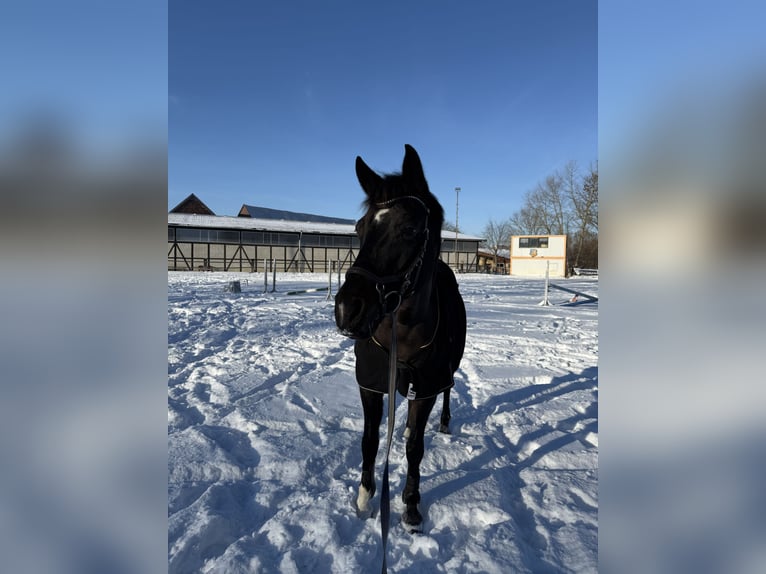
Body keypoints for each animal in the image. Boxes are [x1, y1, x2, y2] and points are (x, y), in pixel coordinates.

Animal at [334, 144, 466, 532]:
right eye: (360, 227)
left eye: (409, 228)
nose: (348, 309)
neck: (402, 332)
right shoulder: (372, 383)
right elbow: (369, 441)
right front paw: (365, 499)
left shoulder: (425, 387)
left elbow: (414, 449)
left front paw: (410, 506)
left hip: (442, 375)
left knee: (446, 395)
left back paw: (444, 423)